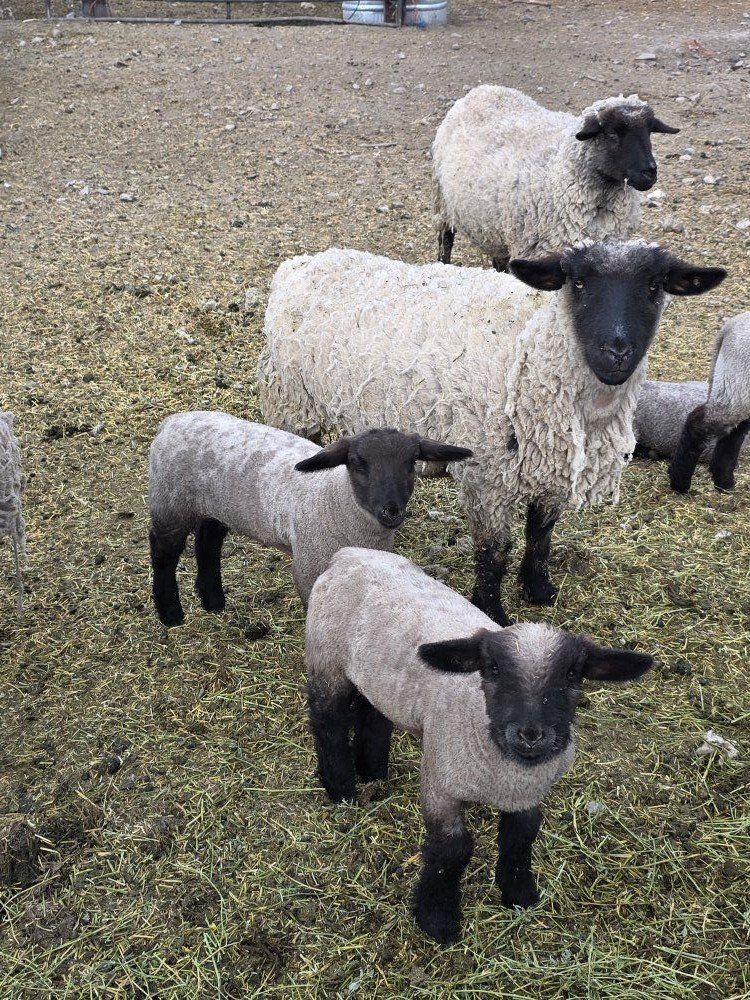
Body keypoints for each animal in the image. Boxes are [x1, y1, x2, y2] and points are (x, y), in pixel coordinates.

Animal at [148, 412, 472, 627]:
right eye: (357, 464)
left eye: (411, 463)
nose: (391, 510)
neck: (335, 498)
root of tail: (172, 421)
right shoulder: (307, 569)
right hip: (170, 503)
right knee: (163, 552)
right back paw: (171, 613)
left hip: (215, 506)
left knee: (208, 540)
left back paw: (213, 600)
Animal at [258, 242, 726, 625]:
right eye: (577, 282)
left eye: (654, 287)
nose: (616, 351)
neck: (533, 349)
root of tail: (300, 263)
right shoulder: (488, 475)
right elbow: (493, 551)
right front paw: (492, 610)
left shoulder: (548, 467)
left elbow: (541, 533)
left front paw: (538, 589)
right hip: (291, 402)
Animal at [306, 547, 653, 944]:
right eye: (493, 669)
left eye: (572, 674)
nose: (531, 734)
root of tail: (350, 554)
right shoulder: (441, 783)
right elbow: (453, 849)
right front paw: (437, 918)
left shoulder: (527, 793)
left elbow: (522, 835)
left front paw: (519, 892)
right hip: (326, 660)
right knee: (328, 721)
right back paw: (340, 786)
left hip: (375, 675)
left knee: (373, 711)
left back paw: (373, 771)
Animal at [432, 85, 679, 271]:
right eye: (611, 134)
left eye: (649, 132)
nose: (649, 173)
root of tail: (484, 88)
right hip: (443, 202)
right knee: (445, 239)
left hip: (496, 227)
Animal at [634, 312, 750, 493]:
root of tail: (729, 328)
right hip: (737, 384)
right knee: (699, 424)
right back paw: (680, 481)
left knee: (734, 432)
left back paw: (724, 482)